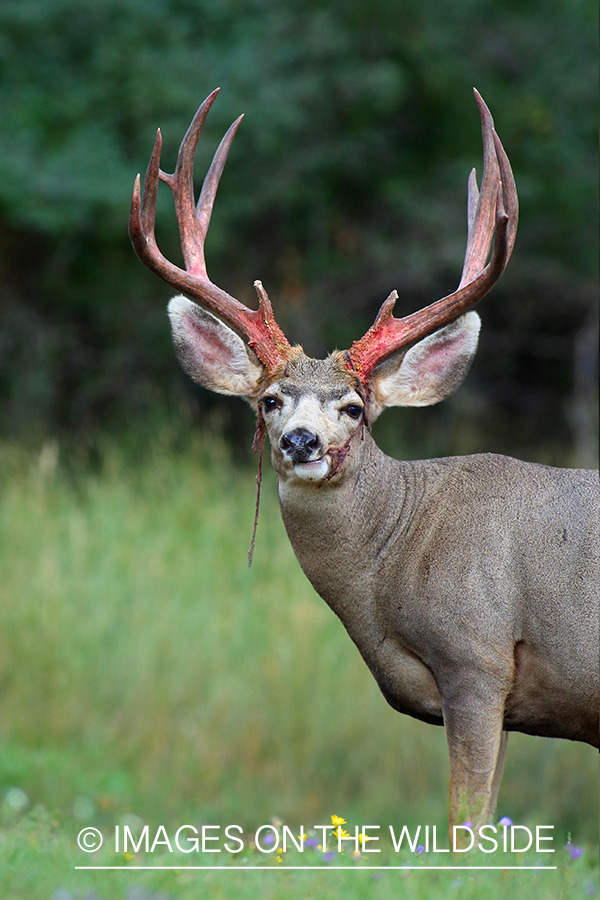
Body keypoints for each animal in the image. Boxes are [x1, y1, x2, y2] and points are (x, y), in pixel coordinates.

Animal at [129, 88, 596, 832]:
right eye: (269, 400)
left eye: (354, 407)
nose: (301, 441)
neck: (394, 561)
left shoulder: (478, 657)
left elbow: (465, 825)